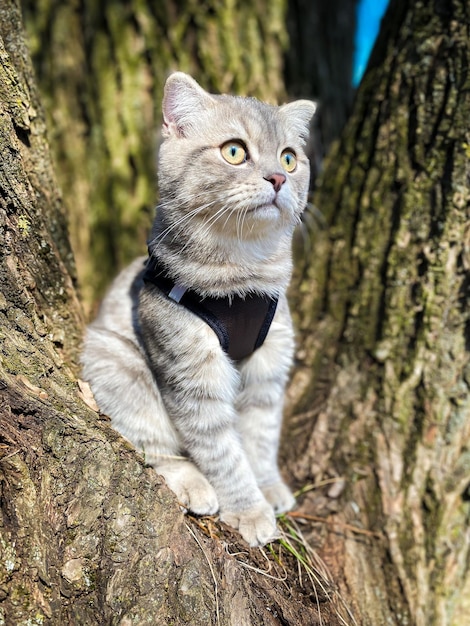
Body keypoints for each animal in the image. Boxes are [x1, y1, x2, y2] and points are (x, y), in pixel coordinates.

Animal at [81, 70, 316, 544]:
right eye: (234, 151)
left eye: (289, 159)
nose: (278, 179)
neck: (242, 278)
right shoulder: (193, 377)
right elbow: (222, 450)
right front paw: (250, 510)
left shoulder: (268, 370)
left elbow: (261, 438)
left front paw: (268, 487)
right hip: (115, 361)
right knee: (153, 449)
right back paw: (196, 486)